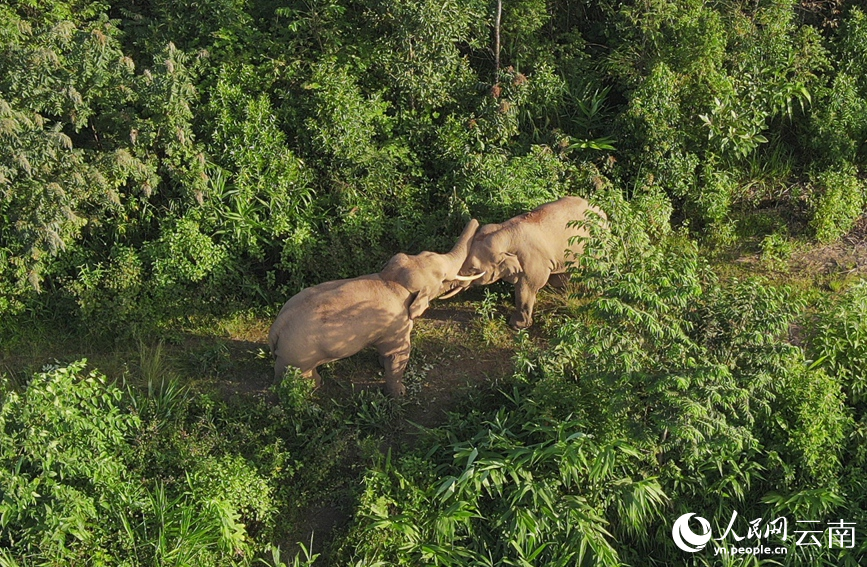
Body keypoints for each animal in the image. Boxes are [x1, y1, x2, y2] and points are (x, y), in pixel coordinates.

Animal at [268, 220, 484, 398]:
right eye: (442, 278)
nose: (477, 221)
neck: (392, 279)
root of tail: (275, 329)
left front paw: (381, 363)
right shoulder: (397, 324)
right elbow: (399, 353)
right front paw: (399, 394)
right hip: (298, 355)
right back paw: (314, 388)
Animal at [458, 196, 608, 330]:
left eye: (473, 269)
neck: (505, 232)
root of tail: (603, 212)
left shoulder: (534, 261)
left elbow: (527, 287)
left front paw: (516, 326)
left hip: (598, 245)